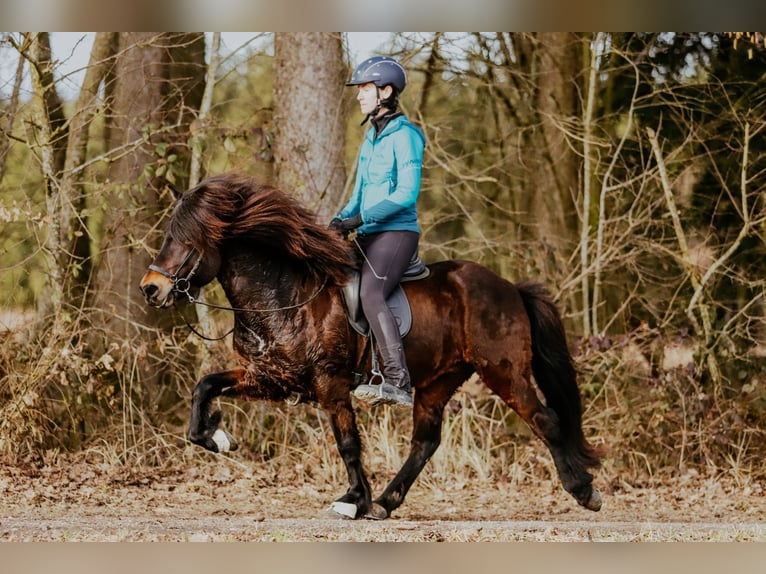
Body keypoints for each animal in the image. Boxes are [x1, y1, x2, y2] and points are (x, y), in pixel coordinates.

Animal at [139, 173, 603, 519]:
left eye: (189, 241)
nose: (151, 288)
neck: (283, 295)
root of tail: (510, 288)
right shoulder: (269, 377)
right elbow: (204, 387)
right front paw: (217, 437)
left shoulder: (330, 383)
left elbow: (347, 442)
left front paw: (352, 500)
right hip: (438, 381)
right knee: (425, 442)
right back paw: (385, 502)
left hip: (503, 371)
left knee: (545, 420)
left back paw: (584, 491)